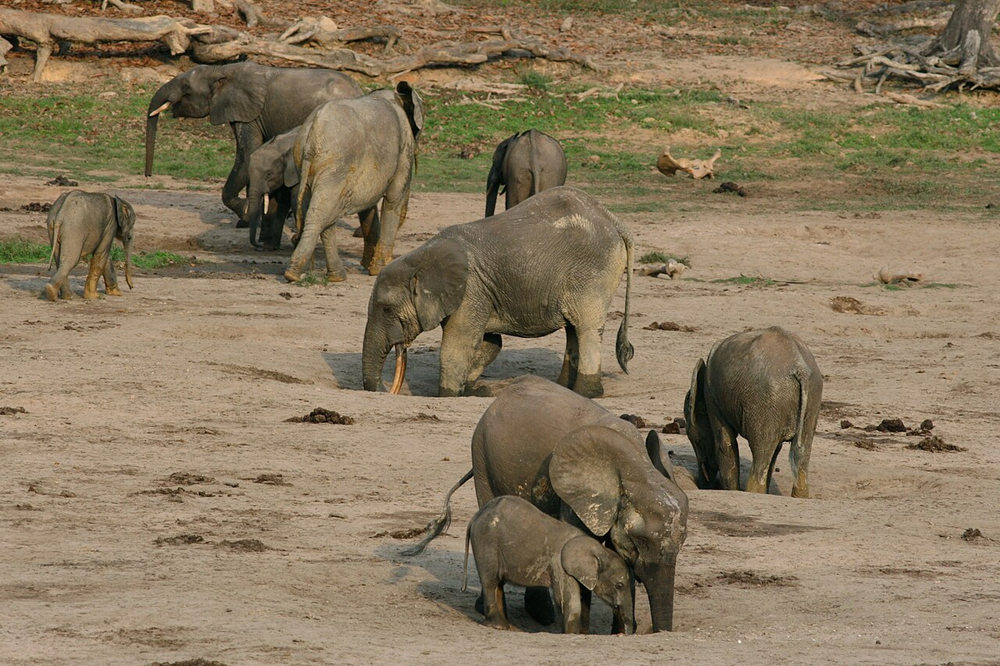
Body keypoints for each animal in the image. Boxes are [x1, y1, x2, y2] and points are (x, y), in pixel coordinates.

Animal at [144, 61, 362, 223]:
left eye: (186, 87)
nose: (148, 175)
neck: (221, 70)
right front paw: (251, 217)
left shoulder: (249, 113)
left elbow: (247, 153)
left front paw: (245, 214)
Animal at [283, 82, 424, 283]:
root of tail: (313, 130)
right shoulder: (404, 149)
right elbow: (393, 199)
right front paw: (378, 270)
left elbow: (369, 207)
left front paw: (368, 266)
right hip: (337, 164)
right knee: (322, 212)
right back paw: (297, 274)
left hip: (306, 162)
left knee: (321, 211)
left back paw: (329, 276)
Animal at [362, 186, 635, 399]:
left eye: (387, 310)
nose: (384, 389)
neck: (421, 256)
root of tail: (612, 219)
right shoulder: (480, 292)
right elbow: (489, 343)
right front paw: (474, 391)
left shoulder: (470, 291)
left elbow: (456, 347)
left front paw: (449, 395)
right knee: (573, 330)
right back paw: (564, 389)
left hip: (591, 274)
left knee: (586, 329)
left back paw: (585, 394)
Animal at [464, 495, 634, 634]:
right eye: (619, 585)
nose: (623, 634)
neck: (598, 549)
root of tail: (476, 516)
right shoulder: (559, 564)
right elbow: (568, 600)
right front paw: (570, 634)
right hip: (486, 542)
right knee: (491, 581)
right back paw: (498, 626)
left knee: (498, 583)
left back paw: (506, 627)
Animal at [685, 326, 823, 498]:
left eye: (696, 440)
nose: (703, 485)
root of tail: (800, 368)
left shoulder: (712, 397)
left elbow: (725, 443)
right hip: (812, 397)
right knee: (802, 450)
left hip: (766, 401)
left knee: (761, 453)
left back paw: (753, 491)